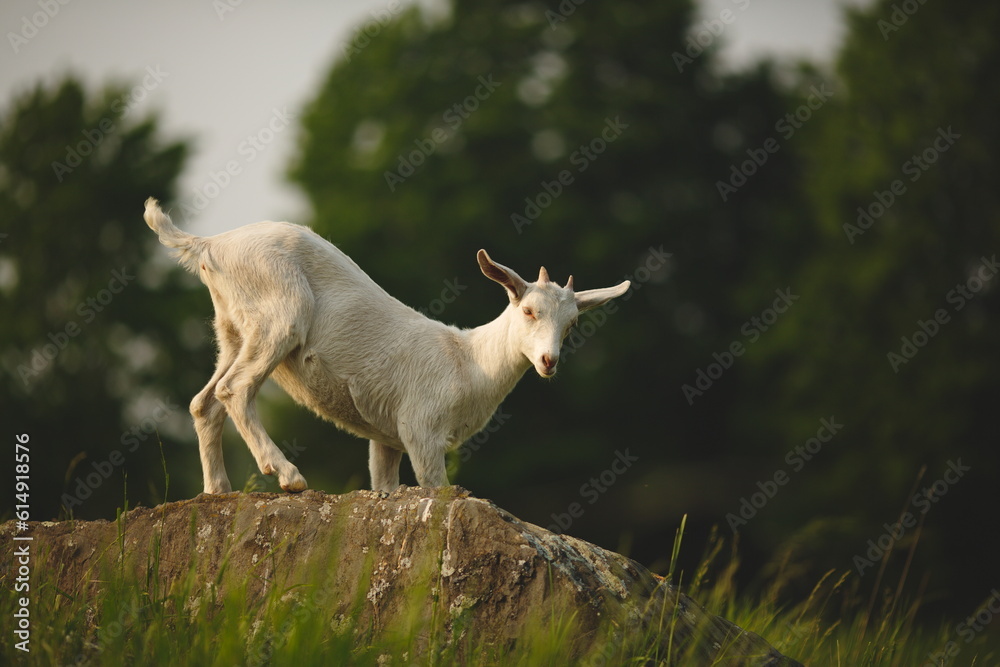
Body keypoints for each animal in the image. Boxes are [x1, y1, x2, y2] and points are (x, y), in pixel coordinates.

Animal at [143, 197, 630, 494]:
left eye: (572, 325)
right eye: (528, 311)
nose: (549, 361)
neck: (469, 361)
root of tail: (209, 244)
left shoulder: (387, 437)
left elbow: (384, 485)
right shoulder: (422, 427)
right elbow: (435, 488)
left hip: (232, 328)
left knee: (204, 401)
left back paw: (217, 491)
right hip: (279, 313)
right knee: (235, 389)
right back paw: (287, 476)